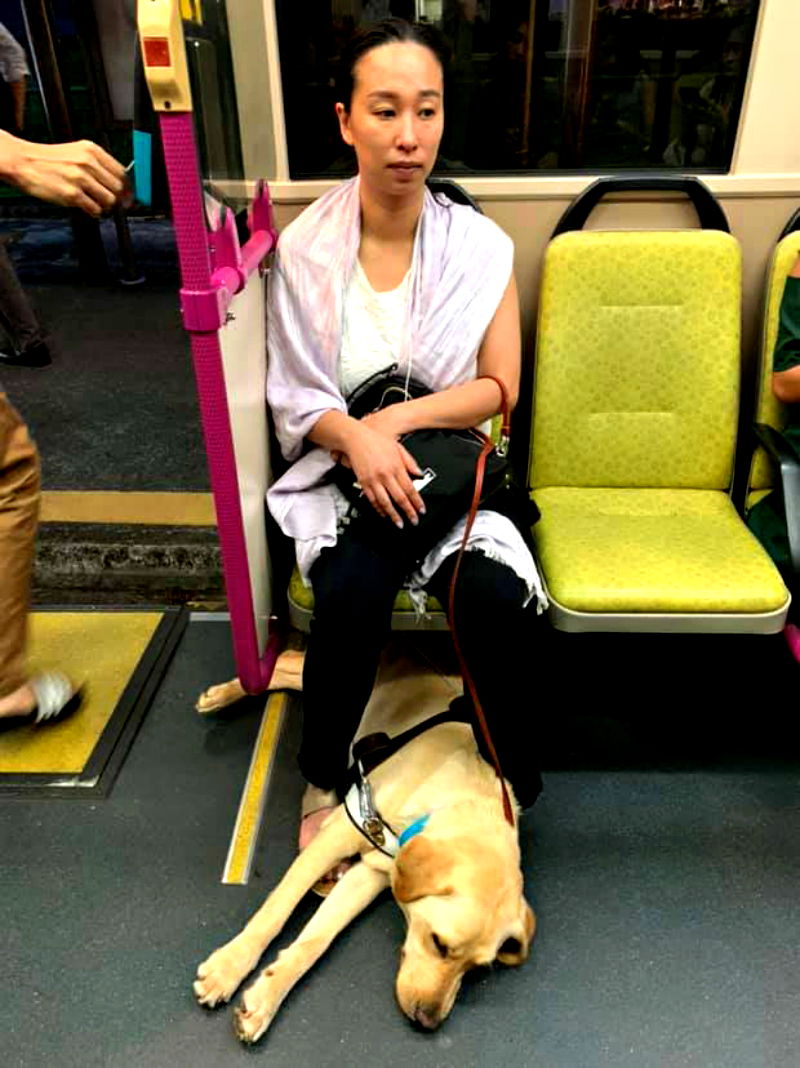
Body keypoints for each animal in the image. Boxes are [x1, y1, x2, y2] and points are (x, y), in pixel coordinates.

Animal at [191, 649, 534, 1042]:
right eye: (439, 943)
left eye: (475, 968)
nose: (428, 1022)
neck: (455, 801)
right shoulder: (336, 836)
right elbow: (274, 913)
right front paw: (228, 969)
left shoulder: (370, 874)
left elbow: (316, 941)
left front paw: (266, 998)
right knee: (289, 660)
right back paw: (223, 694)